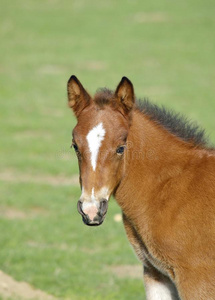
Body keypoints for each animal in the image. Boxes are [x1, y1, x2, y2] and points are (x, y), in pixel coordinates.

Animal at [67, 76, 215, 298]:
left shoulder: (198, 280)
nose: (91, 210)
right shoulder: (155, 273)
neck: (167, 188)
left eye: (121, 148)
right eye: (75, 145)